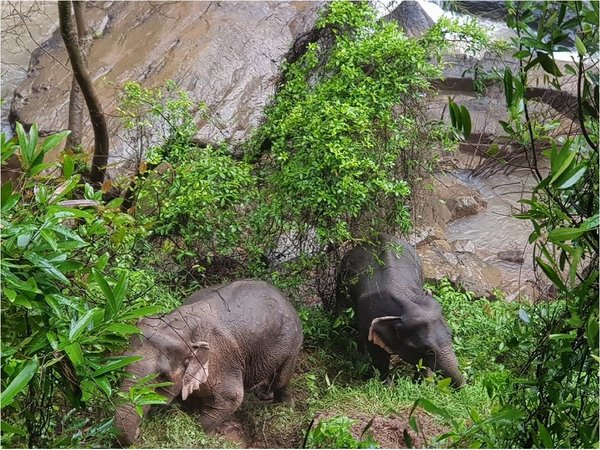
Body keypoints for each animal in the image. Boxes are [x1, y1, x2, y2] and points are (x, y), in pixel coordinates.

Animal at [112, 278, 302, 446]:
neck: (180, 328)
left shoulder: (221, 361)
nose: (138, 433)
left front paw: (207, 435)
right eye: (124, 364)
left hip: (293, 343)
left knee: (282, 378)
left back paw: (285, 406)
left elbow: (232, 397)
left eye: (162, 376)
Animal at [338, 236, 464, 386]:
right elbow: (379, 357)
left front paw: (421, 384)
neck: (405, 301)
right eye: (428, 350)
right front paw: (388, 386)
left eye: (451, 335)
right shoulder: (367, 318)